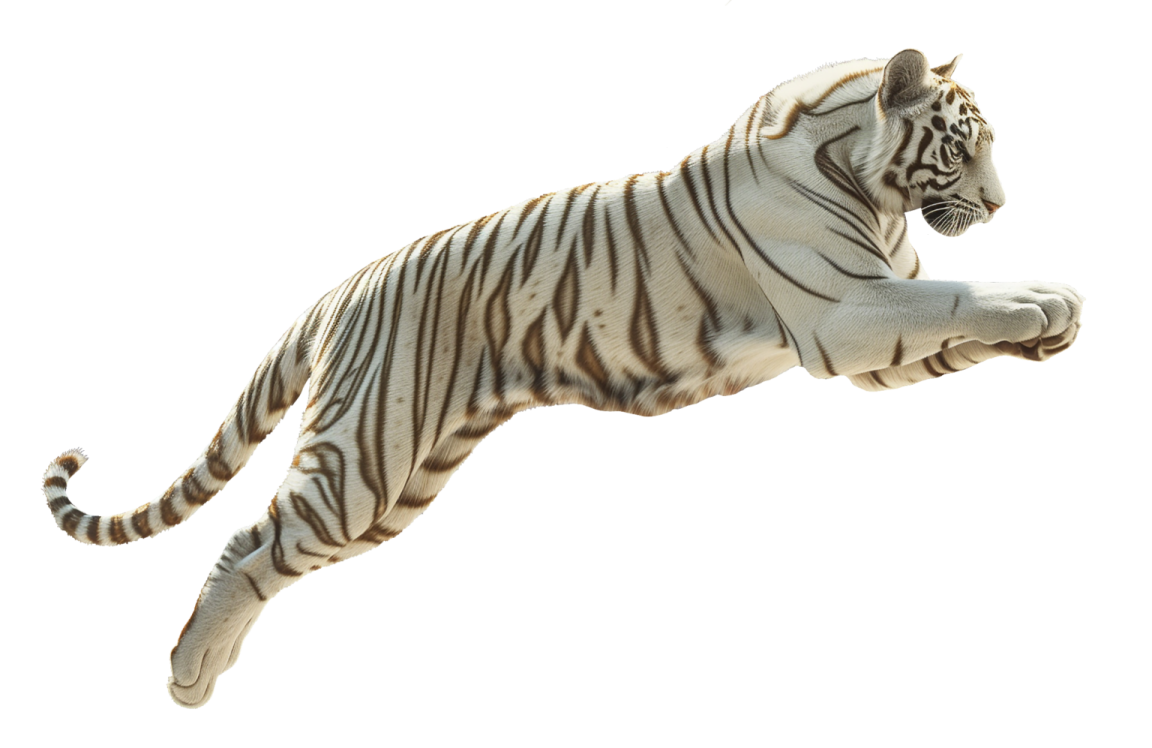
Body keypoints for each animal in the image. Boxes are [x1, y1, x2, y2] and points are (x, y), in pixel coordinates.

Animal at [40, 48, 1084, 709]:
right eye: (965, 144)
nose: (1000, 204)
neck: (869, 184)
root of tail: (344, 288)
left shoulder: (880, 319)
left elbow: (965, 308)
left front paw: (1047, 312)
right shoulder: (848, 313)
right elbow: (954, 296)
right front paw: (1044, 300)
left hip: (401, 482)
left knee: (270, 550)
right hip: (365, 462)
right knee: (247, 541)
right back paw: (187, 676)